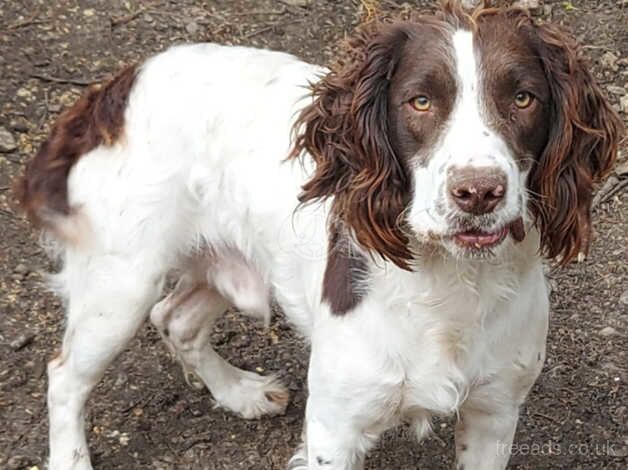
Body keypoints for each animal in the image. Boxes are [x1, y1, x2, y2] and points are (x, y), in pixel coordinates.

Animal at [15, 0, 624, 470]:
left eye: (523, 98)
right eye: (420, 101)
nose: (478, 192)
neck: (451, 283)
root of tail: (115, 87)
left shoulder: (494, 414)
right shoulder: (335, 426)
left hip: (220, 260)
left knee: (175, 319)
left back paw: (240, 393)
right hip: (121, 283)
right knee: (64, 375)